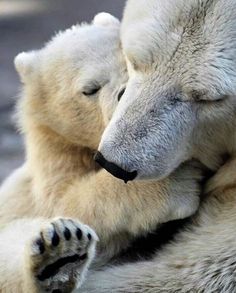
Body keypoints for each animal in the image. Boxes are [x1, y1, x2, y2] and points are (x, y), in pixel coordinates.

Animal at [0, 12, 203, 292]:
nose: (126, 92)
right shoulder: (53, 158)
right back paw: (59, 259)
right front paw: (175, 184)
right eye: (90, 89)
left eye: (130, 64)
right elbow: (67, 201)